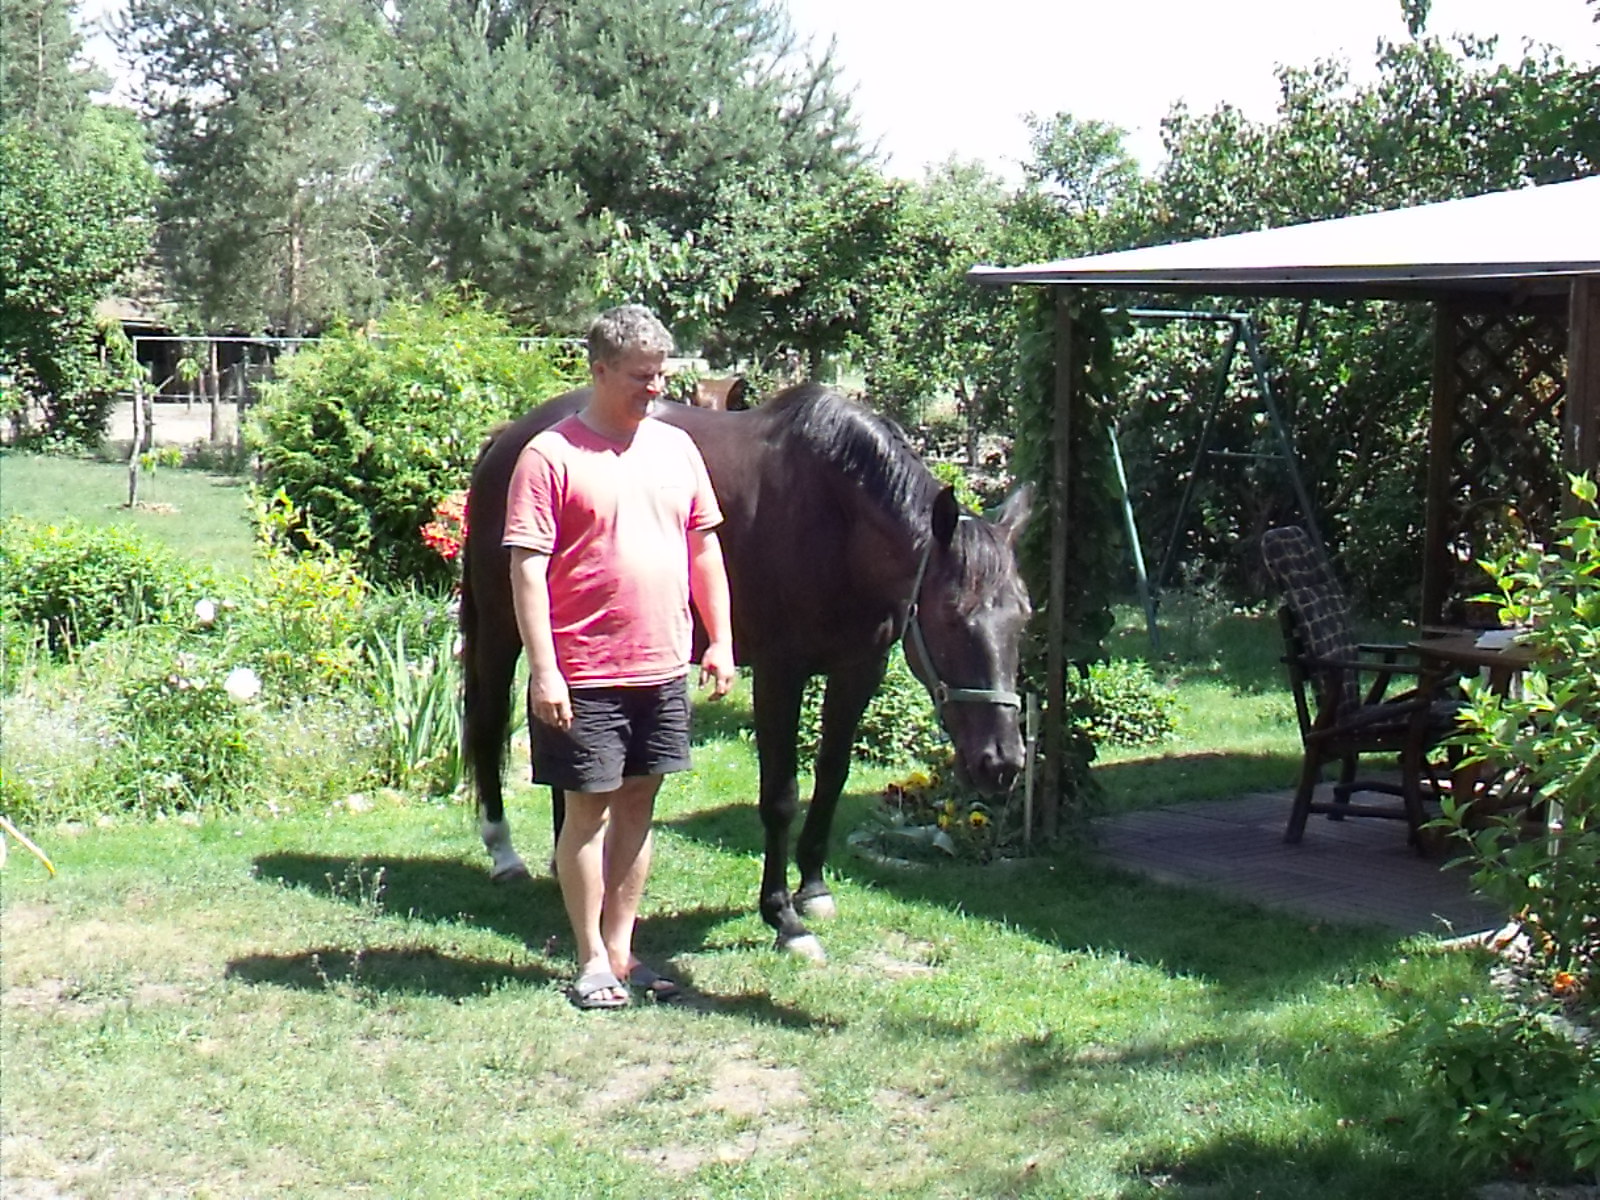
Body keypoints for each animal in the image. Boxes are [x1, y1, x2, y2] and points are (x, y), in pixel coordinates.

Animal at [464, 382, 1036, 960]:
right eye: (951, 616)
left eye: (1024, 616)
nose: (1002, 763)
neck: (836, 517)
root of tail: (509, 437)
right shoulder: (780, 673)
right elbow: (781, 796)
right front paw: (784, 918)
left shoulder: (860, 669)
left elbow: (831, 777)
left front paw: (814, 890)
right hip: (504, 624)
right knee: (488, 723)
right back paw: (505, 854)